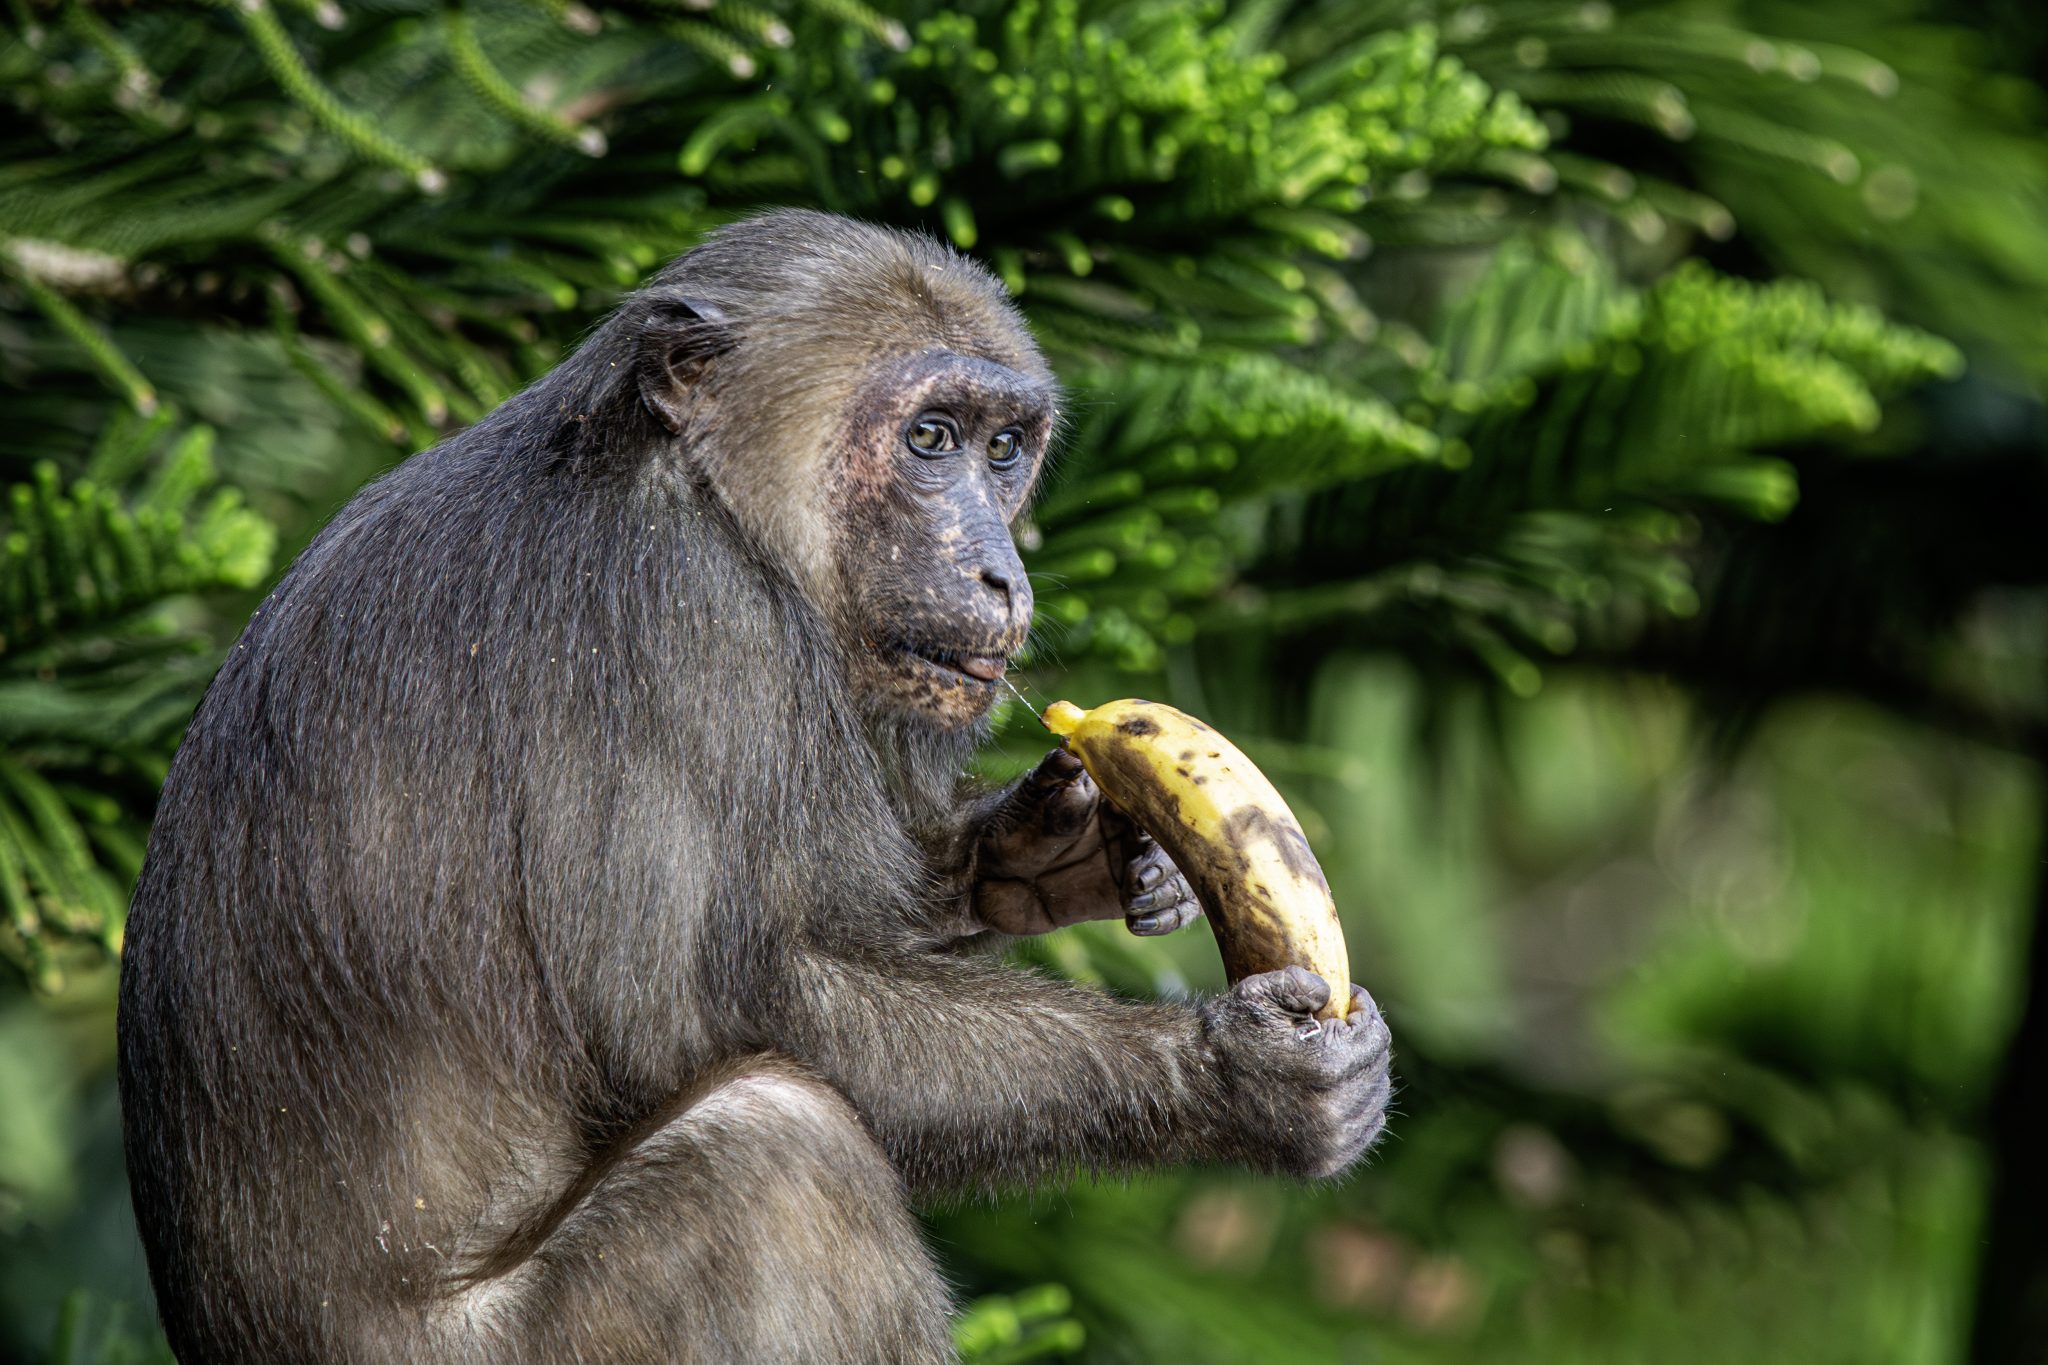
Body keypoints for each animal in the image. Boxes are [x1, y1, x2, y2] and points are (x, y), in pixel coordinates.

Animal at [116, 210, 1394, 1364]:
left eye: (1002, 449)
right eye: (929, 437)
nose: (1001, 568)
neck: (708, 496)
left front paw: (1051, 851)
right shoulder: (685, 613)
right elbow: (688, 1009)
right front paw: (1229, 1073)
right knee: (774, 1160)